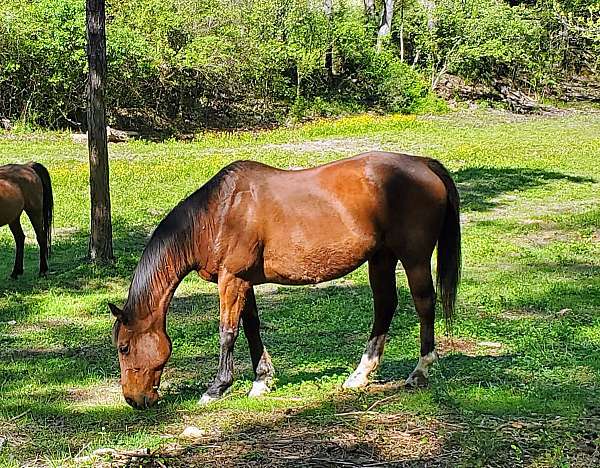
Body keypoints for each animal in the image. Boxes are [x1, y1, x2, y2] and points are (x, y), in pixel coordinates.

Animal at [110, 154, 462, 410]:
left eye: (124, 347)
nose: (134, 400)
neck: (217, 214)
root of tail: (422, 164)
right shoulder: (244, 282)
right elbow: (251, 328)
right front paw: (261, 380)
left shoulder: (231, 279)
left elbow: (227, 333)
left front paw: (216, 388)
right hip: (381, 258)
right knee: (385, 305)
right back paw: (360, 375)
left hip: (414, 258)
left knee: (423, 304)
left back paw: (420, 371)